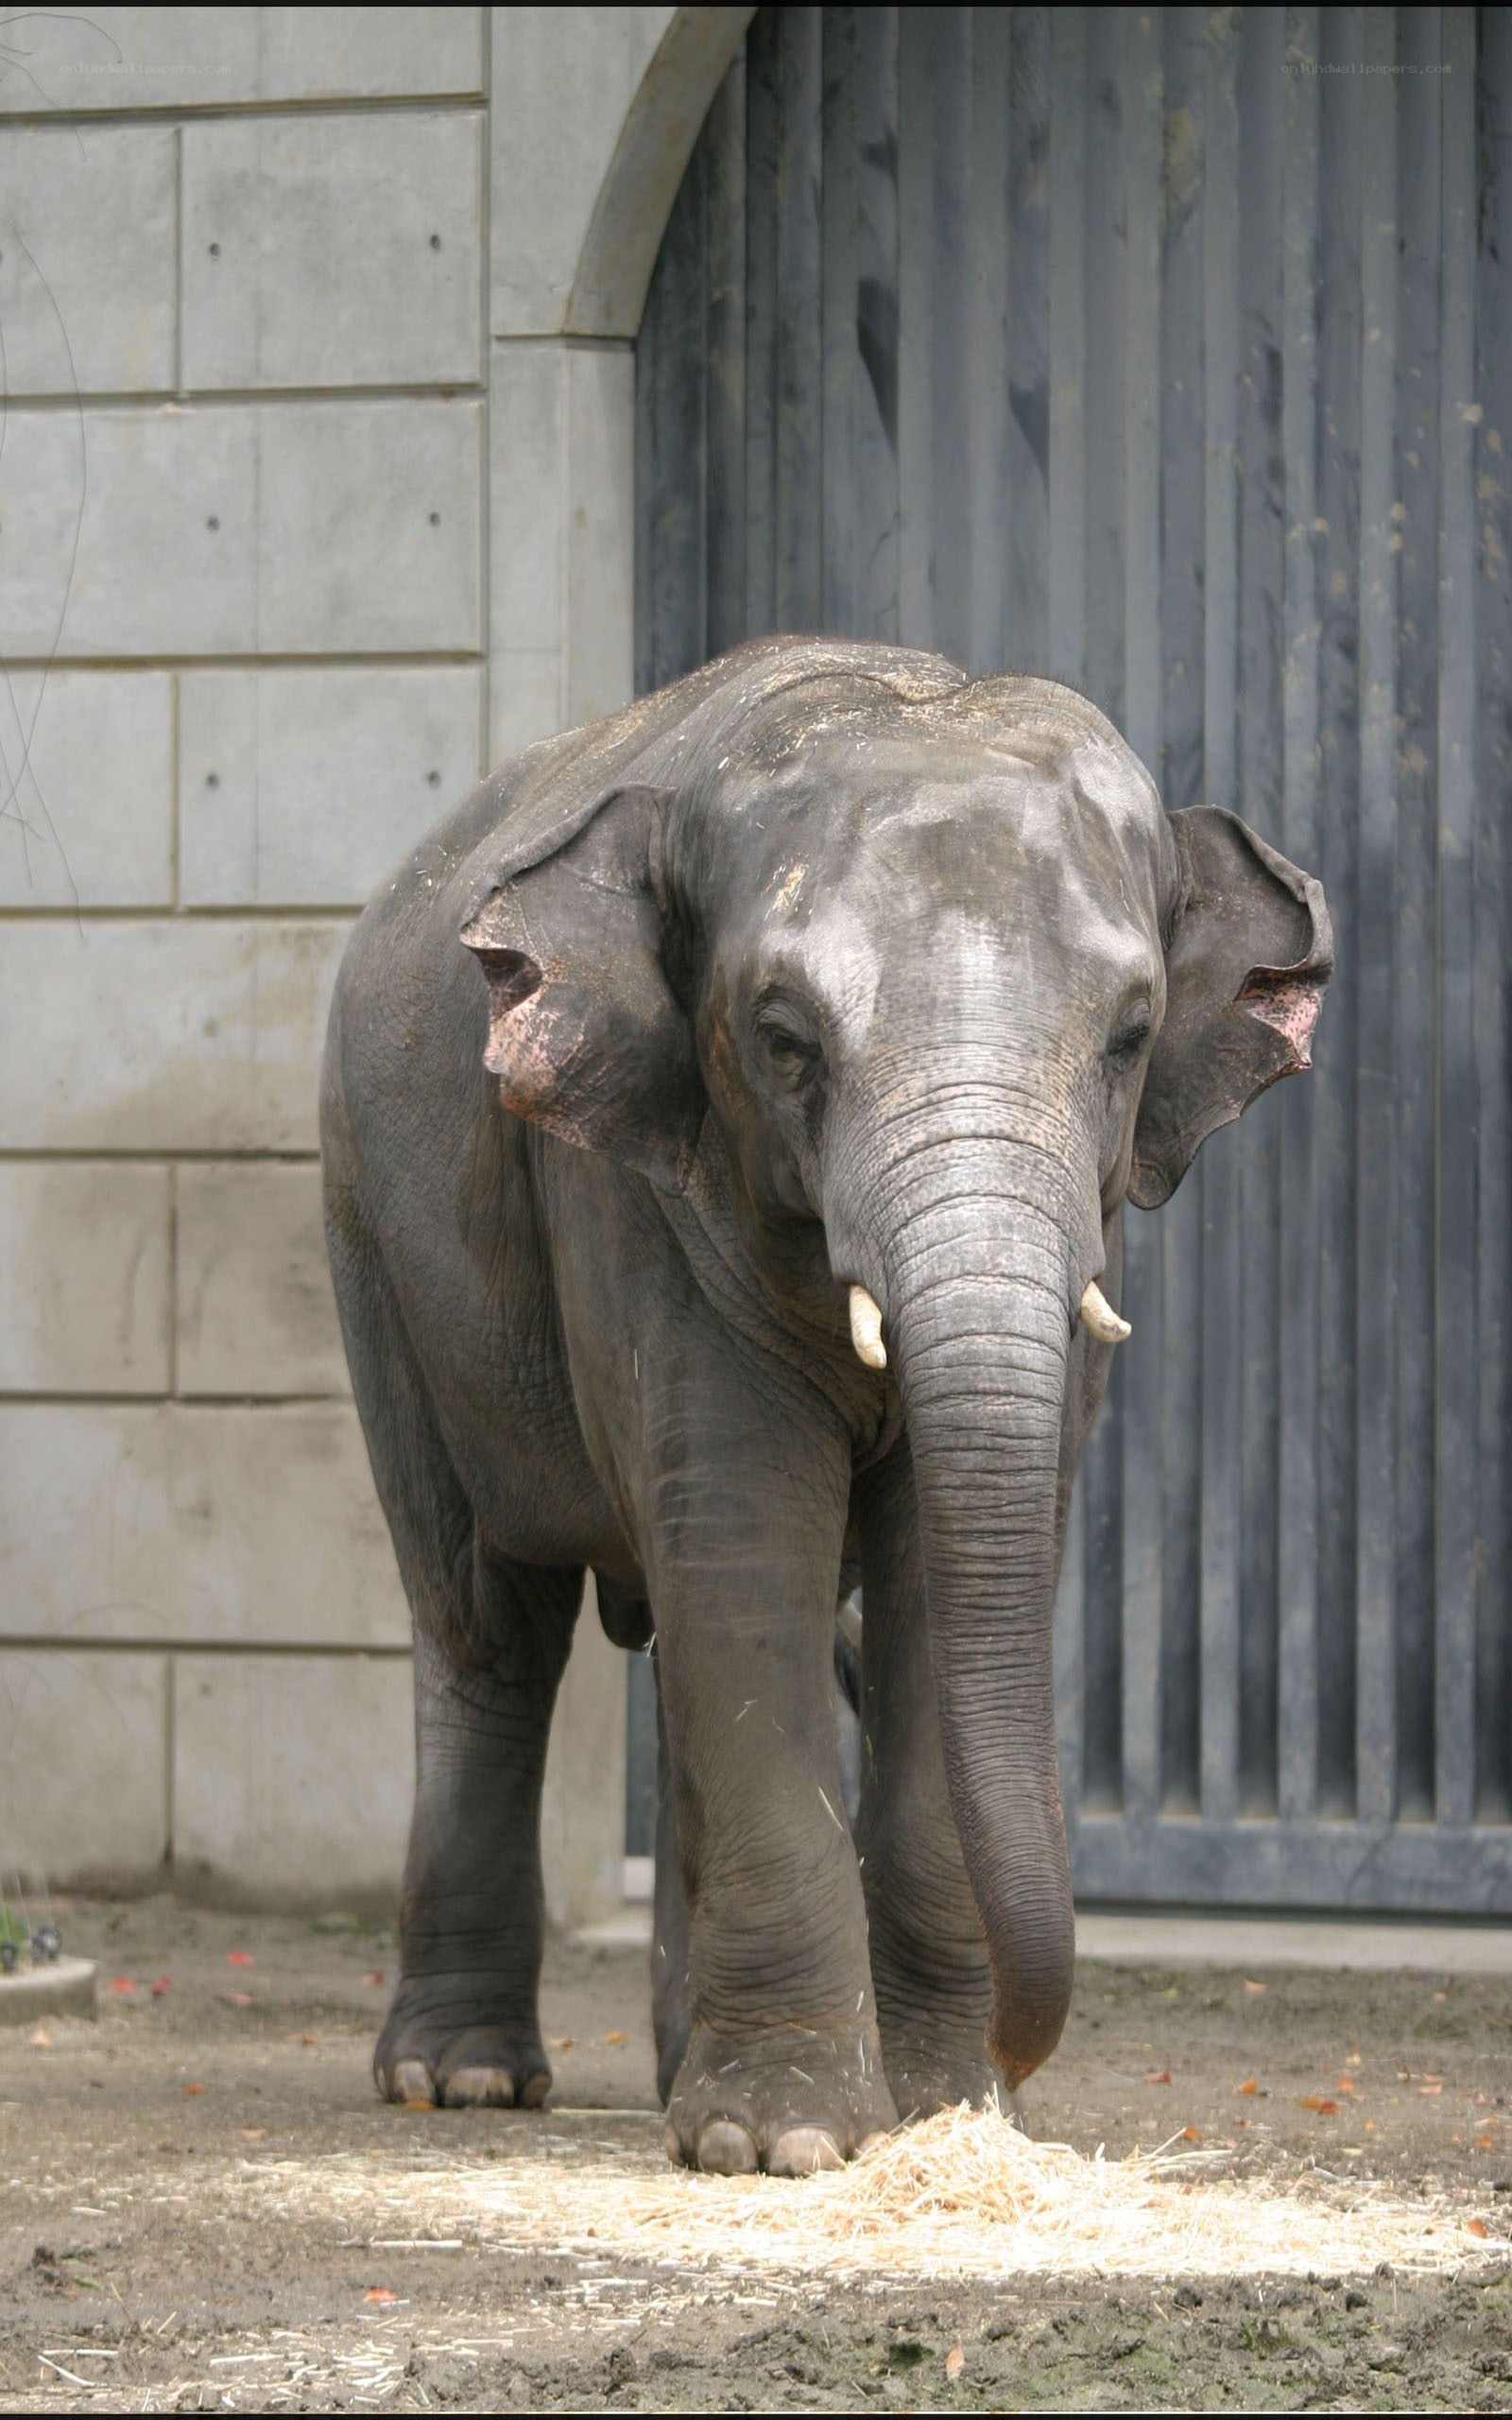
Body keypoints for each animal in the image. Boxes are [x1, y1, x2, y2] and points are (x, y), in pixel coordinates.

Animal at [321, 637, 1331, 2174]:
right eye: (783, 1037)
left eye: (1133, 1034)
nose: (1020, 2052)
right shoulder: (638, 1190)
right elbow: (745, 1541)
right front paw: (782, 2144)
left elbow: (932, 1566)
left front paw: (934, 2109)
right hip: (370, 1237)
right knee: (490, 1623)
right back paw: (464, 2079)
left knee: (657, 1640)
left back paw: (669, 2064)